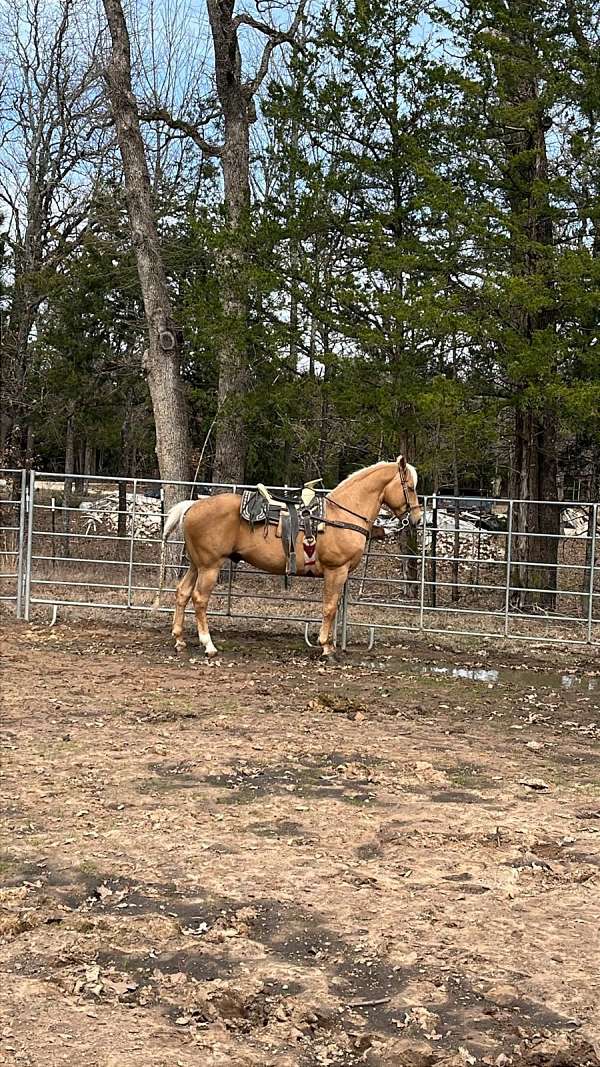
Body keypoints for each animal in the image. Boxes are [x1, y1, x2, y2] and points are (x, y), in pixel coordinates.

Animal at [154, 456, 422, 658]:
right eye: (410, 487)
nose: (417, 519)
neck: (341, 515)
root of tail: (192, 506)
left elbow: (333, 608)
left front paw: (330, 644)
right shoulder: (336, 570)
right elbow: (329, 607)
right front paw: (326, 647)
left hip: (196, 564)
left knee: (182, 593)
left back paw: (179, 640)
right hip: (210, 566)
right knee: (199, 598)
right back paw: (208, 645)